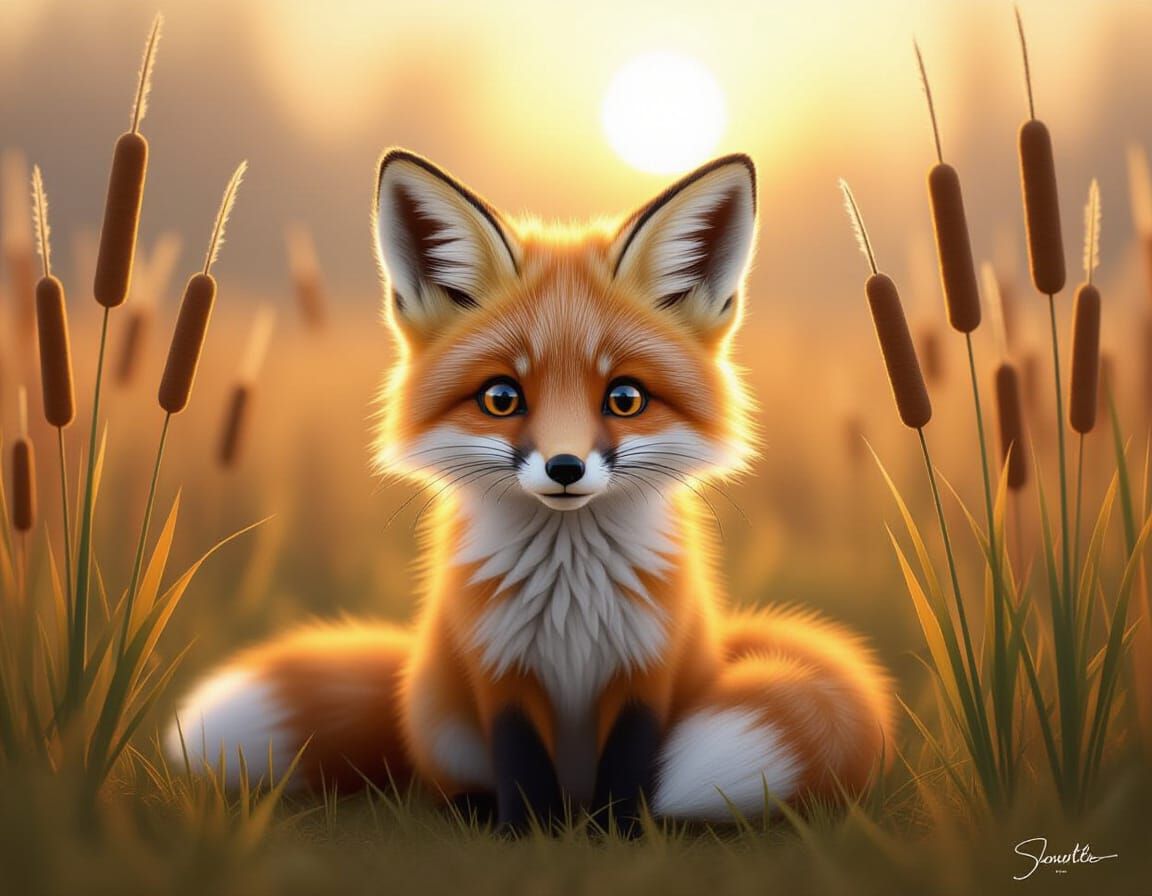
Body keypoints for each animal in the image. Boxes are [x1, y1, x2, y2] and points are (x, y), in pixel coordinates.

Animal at [166, 149, 894, 833]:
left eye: (625, 398)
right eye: (501, 398)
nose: (565, 467)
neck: (571, 593)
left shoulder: (647, 666)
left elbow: (630, 763)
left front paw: (621, 833)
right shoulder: (499, 666)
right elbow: (521, 762)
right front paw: (532, 835)